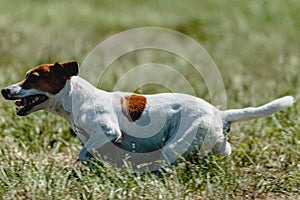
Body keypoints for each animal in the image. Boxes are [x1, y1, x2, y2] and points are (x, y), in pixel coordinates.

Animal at [1, 61, 294, 170]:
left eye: (33, 77)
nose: (5, 90)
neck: (75, 98)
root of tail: (218, 112)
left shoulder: (108, 131)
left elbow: (85, 152)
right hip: (214, 141)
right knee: (225, 149)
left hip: (175, 144)